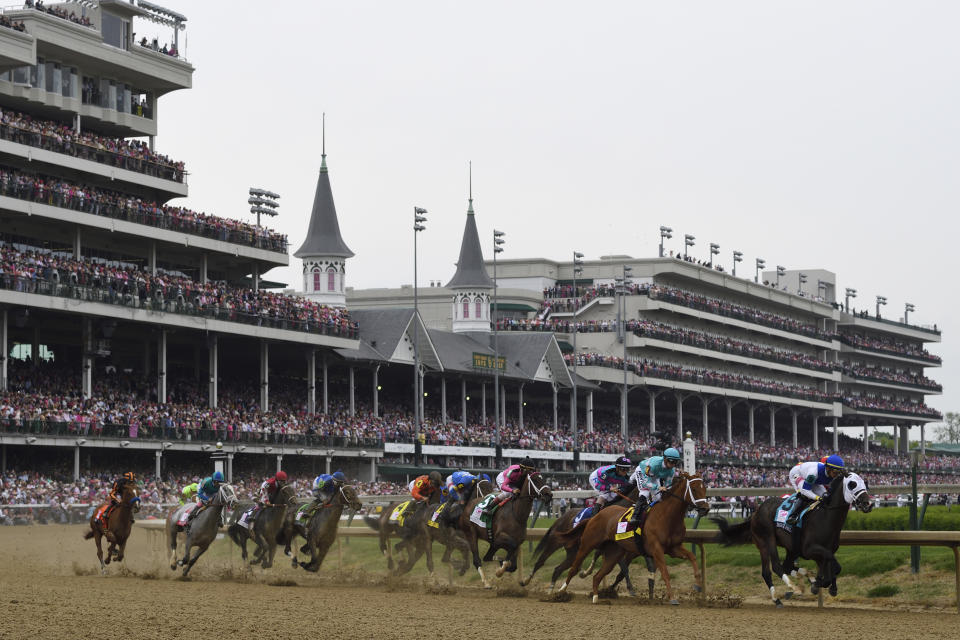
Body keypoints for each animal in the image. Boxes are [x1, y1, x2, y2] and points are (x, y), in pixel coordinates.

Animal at [560, 472, 708, 604]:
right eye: (694, 489)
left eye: (705, 488)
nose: (705, 509)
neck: (667, 517)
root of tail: (595, 516)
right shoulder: (656, 549)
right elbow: (665, 572)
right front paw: (672, 598)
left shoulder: (673, 548)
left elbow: (692, 557)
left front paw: (698, 585)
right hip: (587, 544)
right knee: (574, 568)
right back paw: (561, 592)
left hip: (614, 553)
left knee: (598, 576)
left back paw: (596, 597)